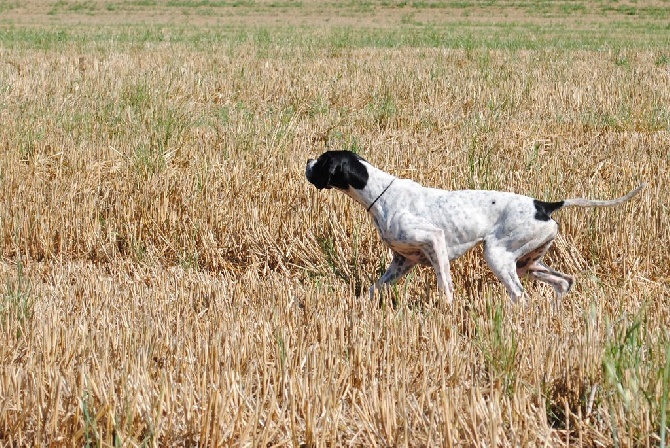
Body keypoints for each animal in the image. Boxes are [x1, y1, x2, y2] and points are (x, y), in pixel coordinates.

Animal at [306, 150, 644, 304]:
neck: (379, 193)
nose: (307, 162)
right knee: (564, 281)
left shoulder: (434, 240)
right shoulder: (402, 261)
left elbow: (445, 283)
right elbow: (375, 288)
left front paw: (448, 308)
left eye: (322, 161)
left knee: (520, 295)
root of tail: (543, 205)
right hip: (528, 263)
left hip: (498, 255)